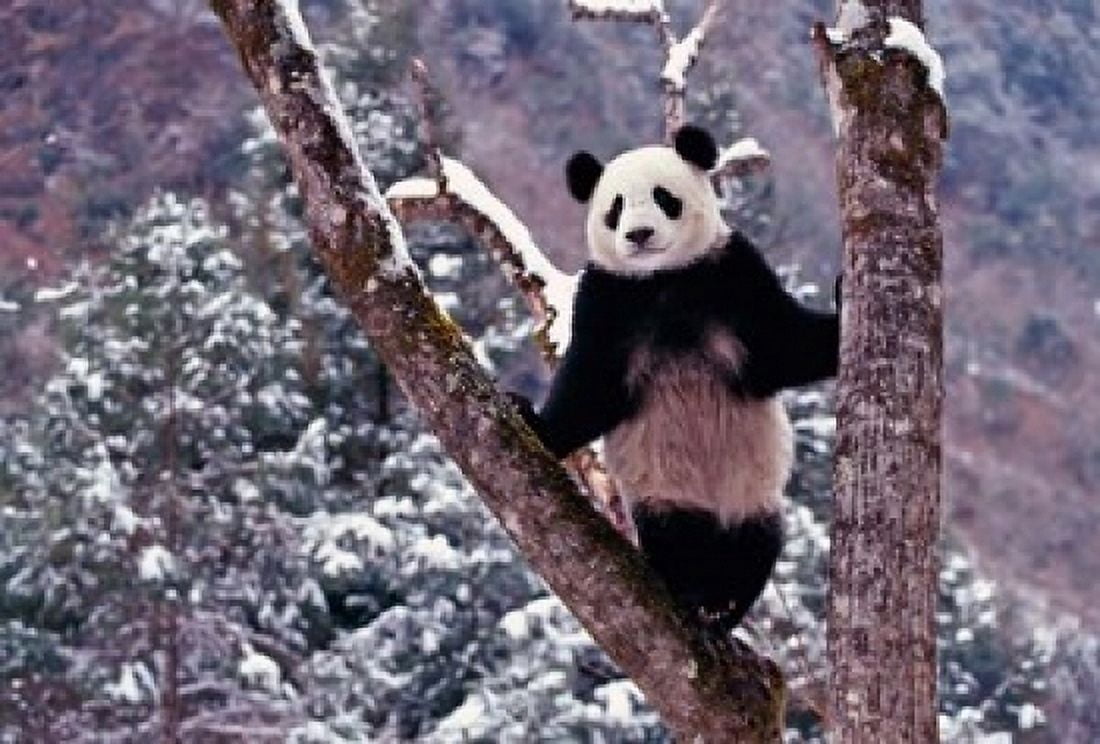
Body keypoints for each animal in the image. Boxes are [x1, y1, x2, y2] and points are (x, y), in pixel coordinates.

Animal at [515, 124, 840, 633]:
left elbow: (786, 345)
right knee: (676, 535)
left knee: (756, 542)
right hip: (664, 487)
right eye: (615, 207)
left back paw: (724, 604)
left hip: (750, 491)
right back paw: (693, 590)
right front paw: (534, 421)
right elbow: (590, 387)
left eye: (663, 197)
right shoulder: (608, 299)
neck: (662, 278)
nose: (639, 234)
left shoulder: (731, 272)